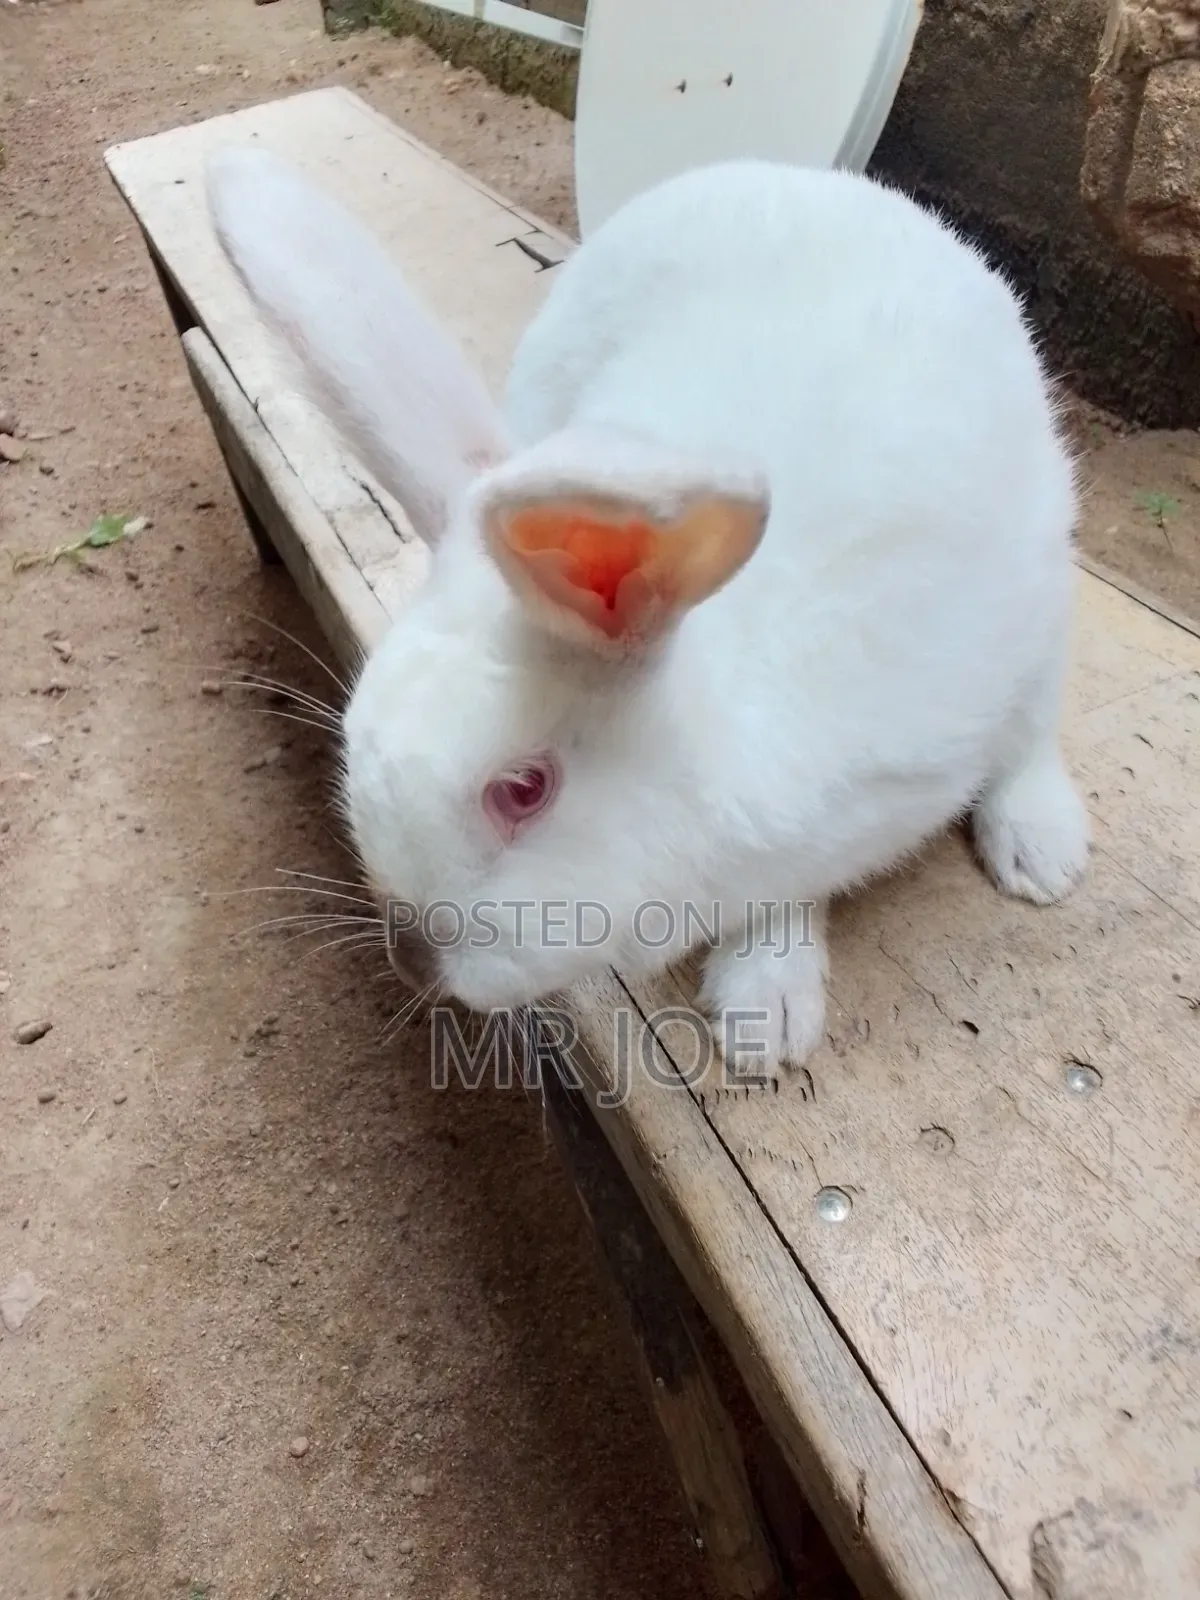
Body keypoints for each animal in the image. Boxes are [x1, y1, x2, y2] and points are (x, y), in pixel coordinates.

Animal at [206, 143, 1091, 1077]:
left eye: (523, 790)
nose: (413, 962)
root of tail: (793, 175)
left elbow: (792, 892)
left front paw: (762, 1017)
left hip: (1043, 580)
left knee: (1033, 727)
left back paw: (1042, 853)